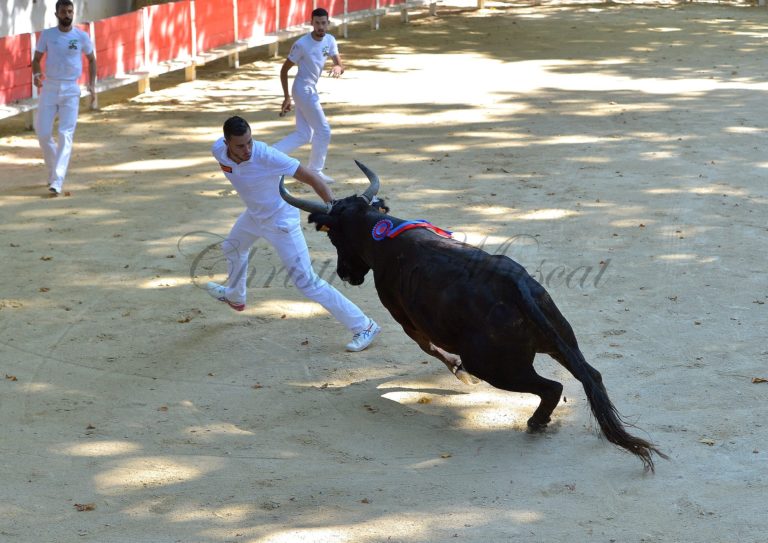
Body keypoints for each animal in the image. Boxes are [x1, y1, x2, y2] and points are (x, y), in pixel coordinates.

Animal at [280, 160, 664, 472]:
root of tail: (516, 285)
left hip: (495, 366)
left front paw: (459, 374)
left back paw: (534, 422)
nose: (346, 274)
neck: (383, 238)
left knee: (552, 387)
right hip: (560, 340)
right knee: (591, 374)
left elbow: (429, 348)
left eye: (334, 237)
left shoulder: (406, 319)